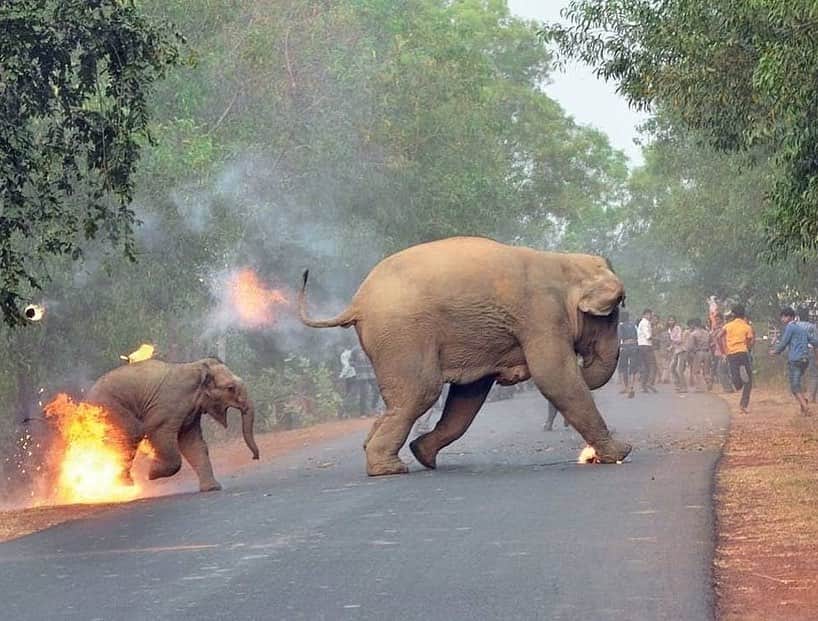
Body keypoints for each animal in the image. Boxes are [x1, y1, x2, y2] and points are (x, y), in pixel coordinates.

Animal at [86, 357, 259, 492]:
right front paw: (151, 474)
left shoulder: (191, 413)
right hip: (110, 408)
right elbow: (159, 432)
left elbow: (193, 443)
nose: (254, 457)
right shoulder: (169, 405)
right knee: (131, 435)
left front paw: (212, 489)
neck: (198, 367)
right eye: (230, 388)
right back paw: (124, 486)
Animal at [299, 236, 631, 476]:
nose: (584, 363)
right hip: (402, 334)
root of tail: (357, 303)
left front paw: (423, 452)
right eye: (612, 314)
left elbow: (469, 395)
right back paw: (389, 469)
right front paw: (621, 452)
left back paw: (390, 454)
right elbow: (555, 377)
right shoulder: (542, 315)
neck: (565, 262)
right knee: (421, 392)